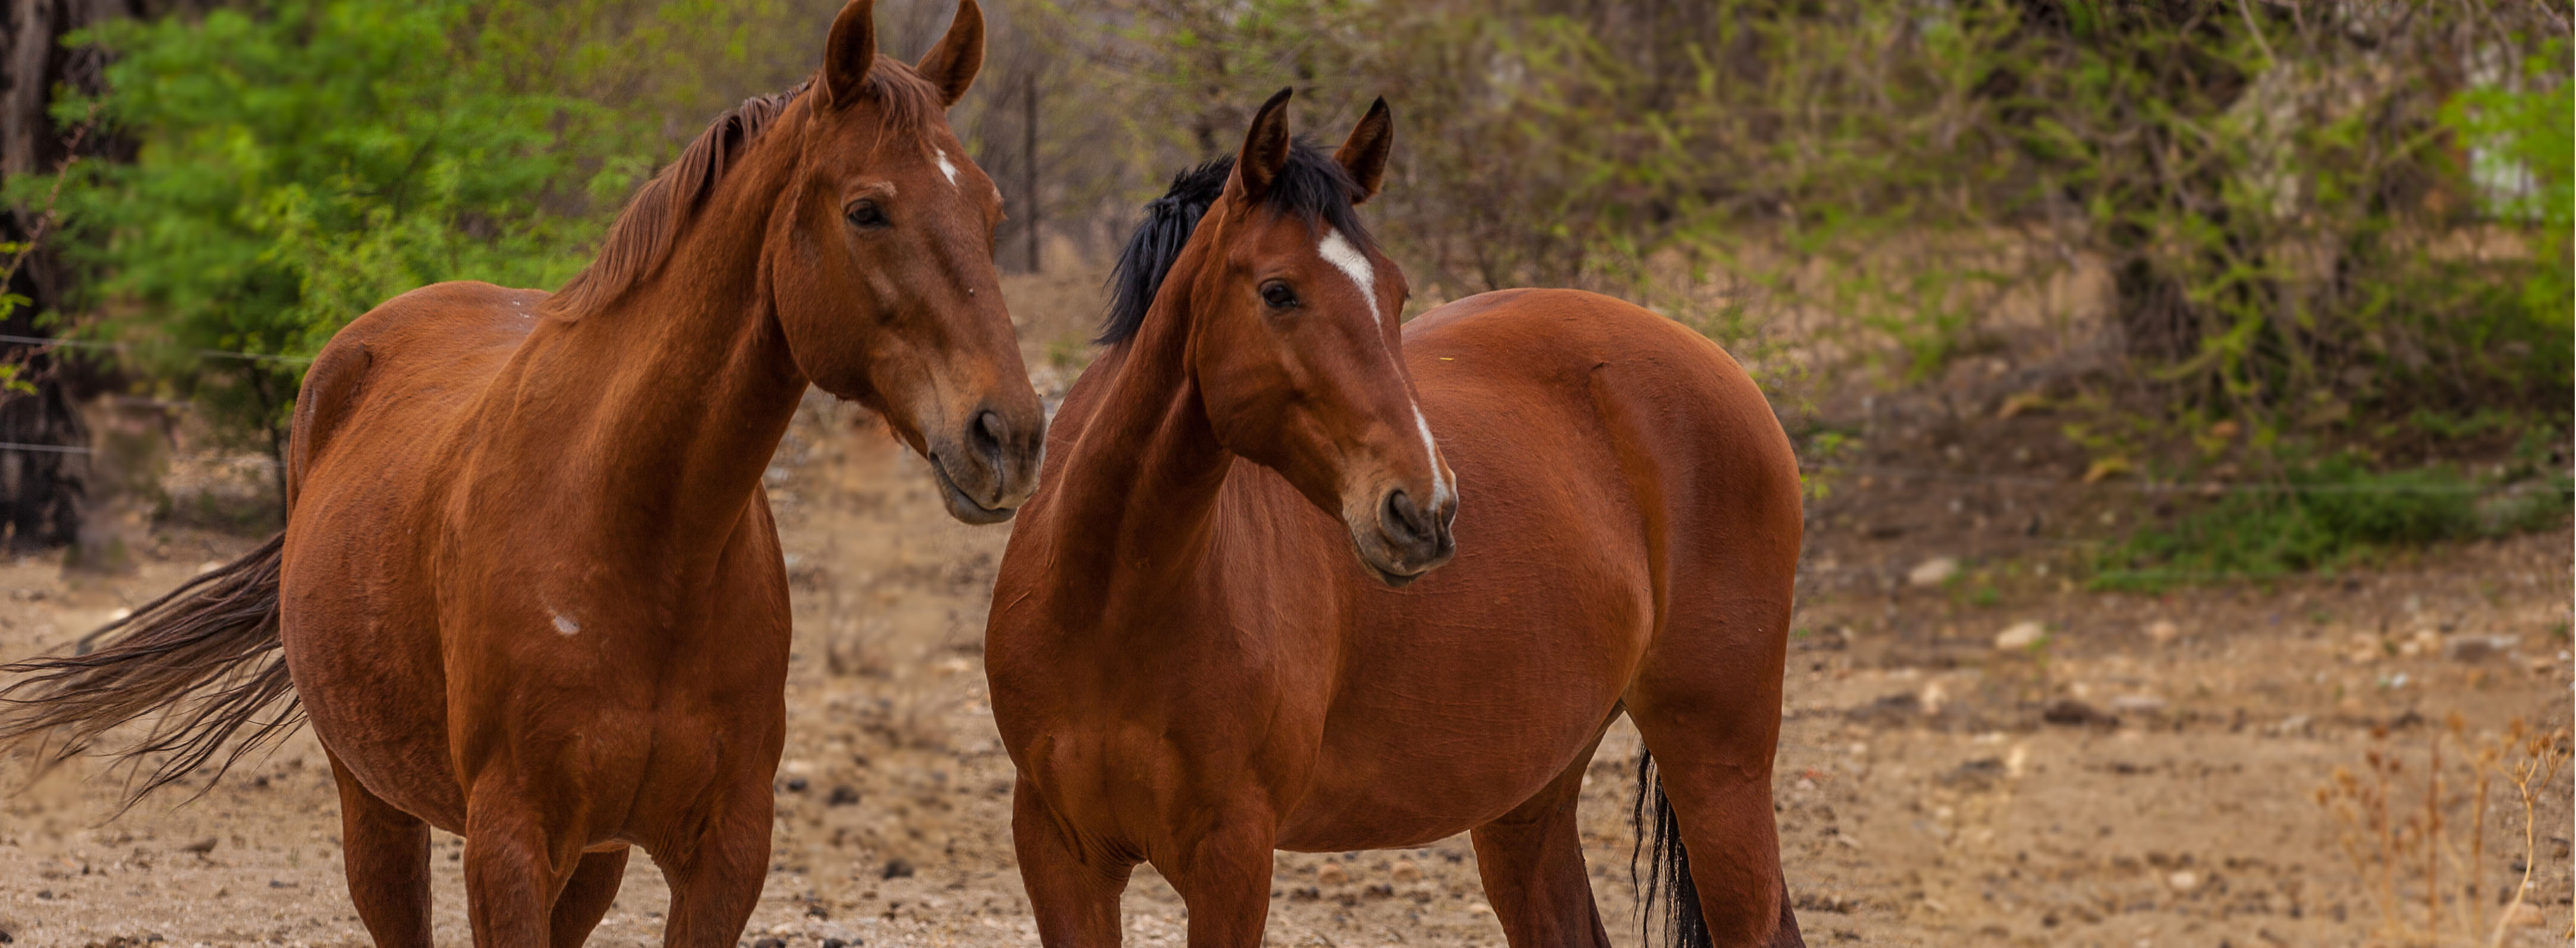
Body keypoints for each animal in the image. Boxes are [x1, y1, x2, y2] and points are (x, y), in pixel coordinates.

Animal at [0, 1, 1043, 943]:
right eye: (867, 209)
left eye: (990, 209)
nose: (1011, 435)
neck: (643, 533)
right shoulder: (509, 841)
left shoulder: (724, 852)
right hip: (376, 806)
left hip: (594, 858)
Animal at [983, 88, 1807, 948]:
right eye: (1278, 291)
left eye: (1396, 292)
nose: (1426, 509)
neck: (1111, 597)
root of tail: (1720, 366)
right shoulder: (1059, 851)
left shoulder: (1233, 856)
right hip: (1529, 795)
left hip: (1718, 765)